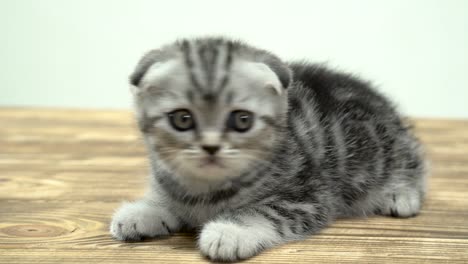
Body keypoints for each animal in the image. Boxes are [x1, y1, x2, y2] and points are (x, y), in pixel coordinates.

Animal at [110, 37, 428, 262]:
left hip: (386, 149)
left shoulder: (308, 197)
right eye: (183, 118)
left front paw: (230, 231)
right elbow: (166, 198)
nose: (211, 147)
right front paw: (143, 211)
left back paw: (401, 193)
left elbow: (265, 211)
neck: (206, 188)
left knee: (413, 160)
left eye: (241, 120)